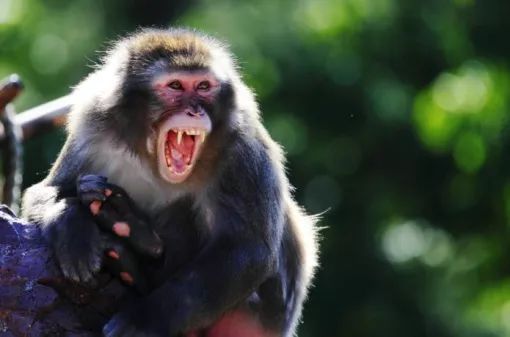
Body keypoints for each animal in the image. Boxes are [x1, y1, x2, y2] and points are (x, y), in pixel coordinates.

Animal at [23, 28, 318, 336]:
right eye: (176, 86)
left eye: (203, 87)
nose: (195, 111)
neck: (151, 157)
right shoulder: (92, 123)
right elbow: (49, 189)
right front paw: (73, 230)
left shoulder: (243, 149)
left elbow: (249, 248)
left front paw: (144, 320)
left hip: (260, 309)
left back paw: (133, 232)